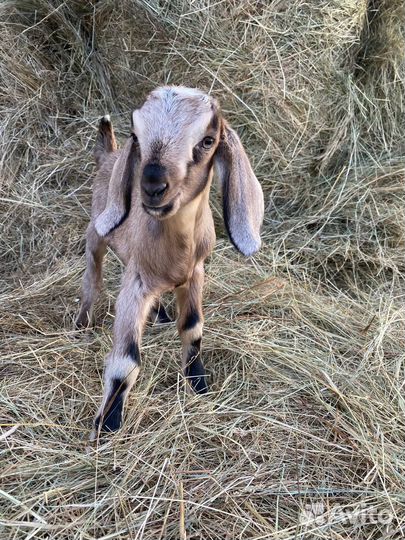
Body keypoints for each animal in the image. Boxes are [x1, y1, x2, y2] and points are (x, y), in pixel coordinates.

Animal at [76, 85, 264, 438]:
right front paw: (107, 426)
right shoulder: (135, 286)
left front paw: (199, 384)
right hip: (96, 233)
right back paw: (81, 323)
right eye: (136, 134)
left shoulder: (195, 274)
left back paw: (159, 313)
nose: (152, 185)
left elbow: (192, 328)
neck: (177, 253)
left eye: (207, 140)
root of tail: (109, 155)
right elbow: (126, 361)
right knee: (92, 275)